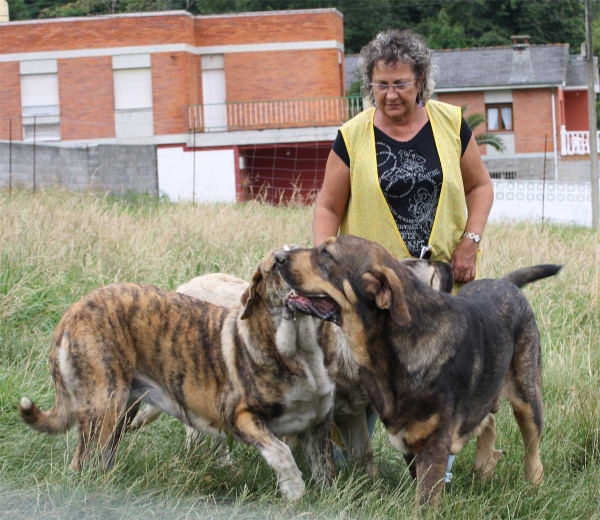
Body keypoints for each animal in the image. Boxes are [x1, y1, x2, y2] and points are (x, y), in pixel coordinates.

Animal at [276, 236, 564, 508]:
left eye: (326, 253)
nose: (278, 257)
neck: (394, 346)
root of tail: (504, 283)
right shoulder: (407, 440)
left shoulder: (434, 444)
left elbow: (425, 501)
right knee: (487, 420)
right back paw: (484, 464)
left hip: (527, 397)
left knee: (532, 448)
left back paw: (534, 485)